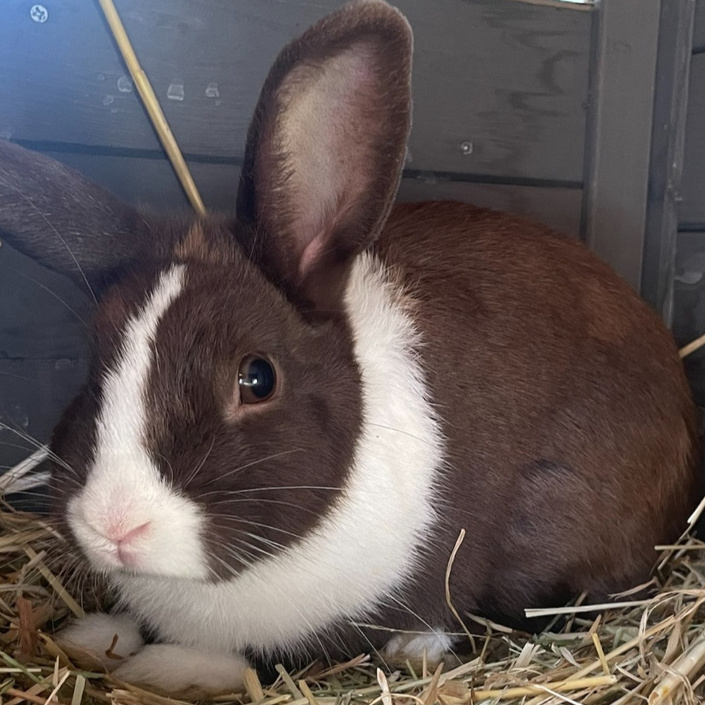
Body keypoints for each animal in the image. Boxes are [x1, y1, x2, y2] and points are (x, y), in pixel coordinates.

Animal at [0, 0, 699, 695]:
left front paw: (171, 665)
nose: (115, 525)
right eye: (92, 365)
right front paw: (94, 634)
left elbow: (276, 656)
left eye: (257, 378)